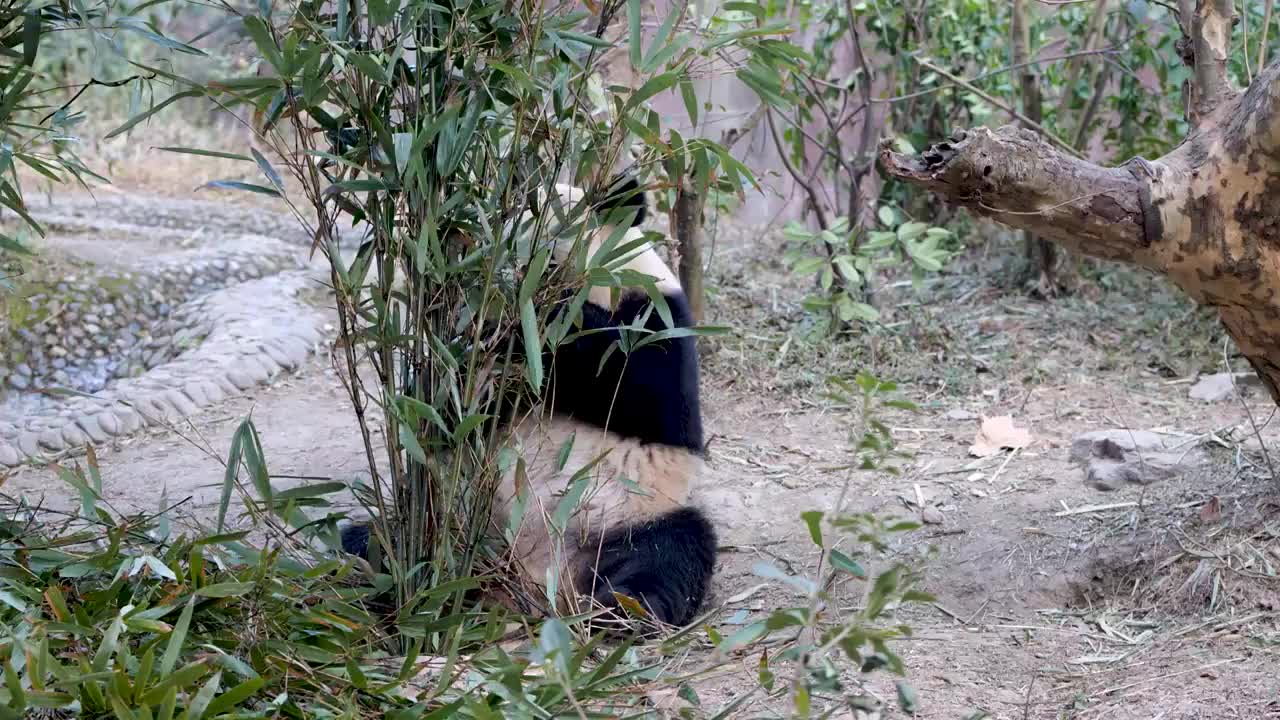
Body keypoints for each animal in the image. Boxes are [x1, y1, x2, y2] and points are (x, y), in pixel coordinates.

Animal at [340, 174, 721, 627]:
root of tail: (533, 588)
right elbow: (450, 406)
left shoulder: (657, 318)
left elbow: (638, 387)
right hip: (453, 516)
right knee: (381, 538)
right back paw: (380, 573)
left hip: (629, 514)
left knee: (671, 549)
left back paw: (624, 608)